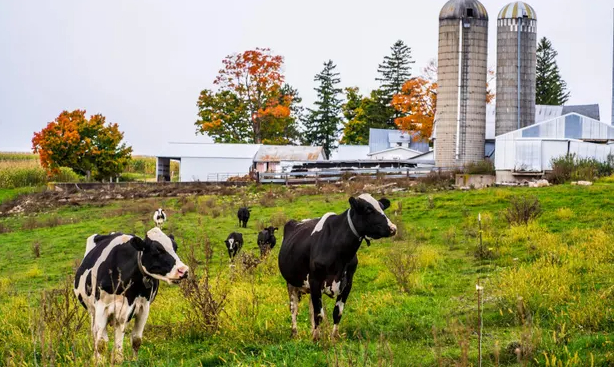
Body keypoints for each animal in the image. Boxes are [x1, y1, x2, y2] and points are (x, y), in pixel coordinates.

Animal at [73, 229, 188, 364]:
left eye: (175, 247)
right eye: (157, 250)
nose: (183, 270)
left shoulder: (142, 307)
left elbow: (136, 339)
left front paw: (129, 360)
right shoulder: (102, 307)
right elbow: (101, 343)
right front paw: (100, 362)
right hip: (92, 310)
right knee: (96, 334)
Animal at [278, 194, 398, 340]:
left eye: (381, 207)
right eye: (368, 209)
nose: (393, 228)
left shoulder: (347, 284)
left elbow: (337, 312)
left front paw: (333, 337)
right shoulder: (315, 281)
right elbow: (319, 314)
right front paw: (317, 339)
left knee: (310, 309)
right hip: (291, 283)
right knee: (294, 308)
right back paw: (295, 333)